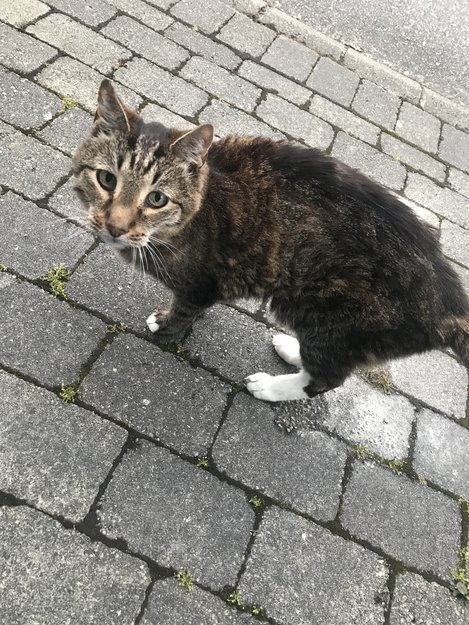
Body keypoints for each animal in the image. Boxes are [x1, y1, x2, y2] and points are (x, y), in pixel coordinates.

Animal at [72, 79, 469, 402]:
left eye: (157, 199)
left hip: (327, 313)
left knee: (326, 379)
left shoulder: (201, 283)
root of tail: (451, 307)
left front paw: (167, 325)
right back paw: (292, 349)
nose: (115, 226)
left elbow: (185, 311)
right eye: (106, 179)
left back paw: (272, 387)